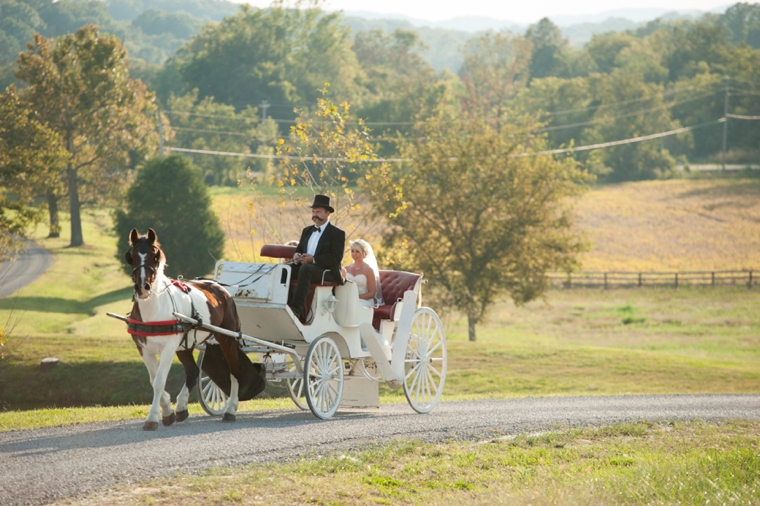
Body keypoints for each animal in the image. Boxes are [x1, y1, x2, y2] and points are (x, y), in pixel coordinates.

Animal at [124, 229, 243, 430]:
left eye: (154, 256)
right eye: (131, 257)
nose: (143, 287)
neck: (154, 309)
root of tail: (220, 287)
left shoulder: (168, 348)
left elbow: (159, 381)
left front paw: (152, 418)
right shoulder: (143, 348)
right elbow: (154, 381)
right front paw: (168, 411)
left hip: (227, 338)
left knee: (234, 370)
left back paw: (230, 410)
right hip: (185, 344)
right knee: (193, 371)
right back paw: (181, 407)